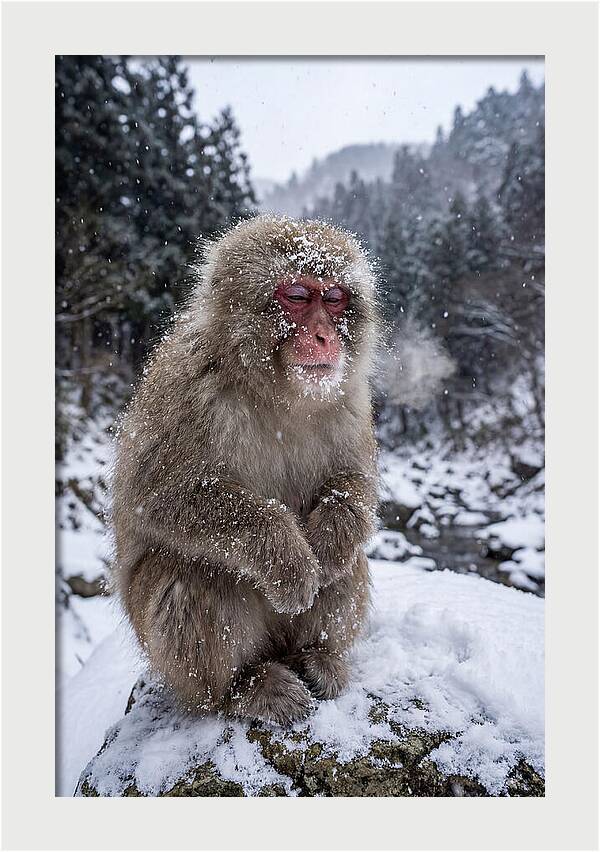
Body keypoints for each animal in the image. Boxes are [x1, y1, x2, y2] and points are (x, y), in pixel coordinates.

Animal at [111, 215, 380, 725]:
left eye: (335, 298)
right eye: (296, 295)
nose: (325, 336)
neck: (277, 393)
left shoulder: (351, 399)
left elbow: (354, 482)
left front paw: (329, 541)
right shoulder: (186, 388)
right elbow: (156, 497)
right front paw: (289, 559)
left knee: (349, 564)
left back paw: (317, 657)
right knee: (190, 574)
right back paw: (242, 688)